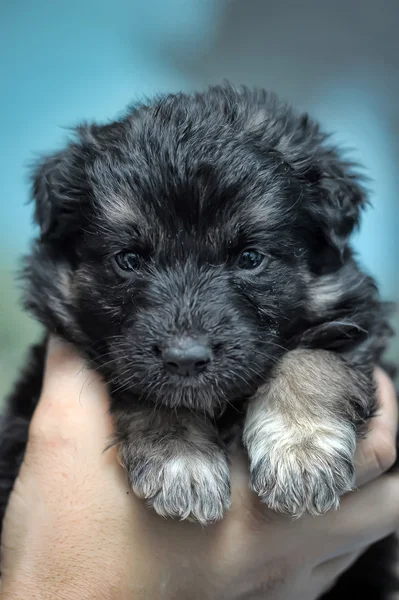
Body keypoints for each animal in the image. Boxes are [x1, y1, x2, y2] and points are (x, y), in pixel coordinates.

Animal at [1, 84, 398, 596]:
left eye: (250, 257)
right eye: (128, 259)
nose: (186, 358)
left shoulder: (350, 323)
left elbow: (313, 358)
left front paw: (301, 449)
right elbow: (149, 389)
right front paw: (183, 463)